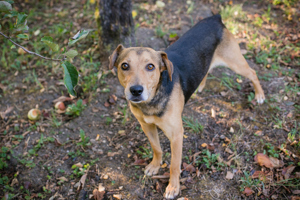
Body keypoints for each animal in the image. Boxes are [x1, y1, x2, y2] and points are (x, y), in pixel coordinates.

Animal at [108, 14, 264, 199]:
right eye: (124, 66)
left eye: (150, 66)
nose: (136, 90)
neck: (152, 100)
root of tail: (215, 18)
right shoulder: (146, 126)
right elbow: (156, 148)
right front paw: (155, 165)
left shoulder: (176, 135)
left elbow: (174, 165)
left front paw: (173, 187)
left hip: (235, 62)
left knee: (253, 73)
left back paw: (260, 95)